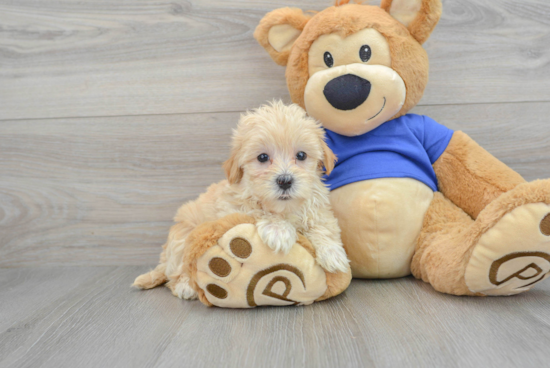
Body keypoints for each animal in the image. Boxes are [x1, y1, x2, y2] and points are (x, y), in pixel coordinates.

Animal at [134, 100, 350, 300]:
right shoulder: (233, 207)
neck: (284, 208)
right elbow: (256, 210)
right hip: (182, 238)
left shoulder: (317, 207)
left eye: (301, 155)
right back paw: (185, 286)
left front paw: (333, 253)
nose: (285, 180)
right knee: (178, 272)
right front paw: (279, 230)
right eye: (262, 157)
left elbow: (323, 225)